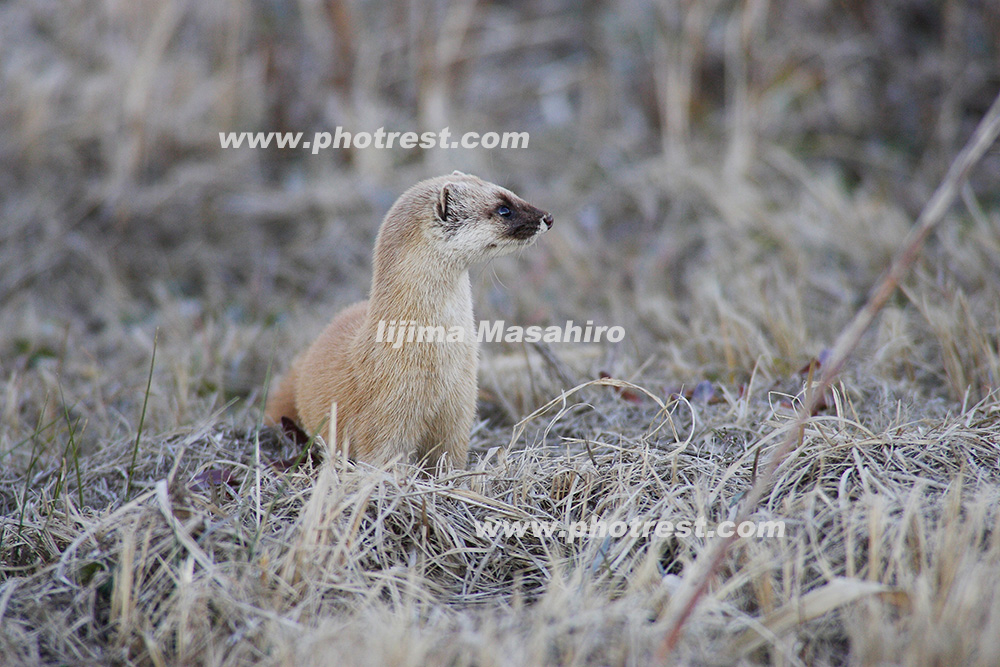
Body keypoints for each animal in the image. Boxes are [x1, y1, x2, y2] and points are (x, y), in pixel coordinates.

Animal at [264, 175, 556, 472]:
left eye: (510, 192)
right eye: (503, 208)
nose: (548, 216)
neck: (440, 363)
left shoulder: (460, 409)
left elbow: (450, 455)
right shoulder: (385, 416)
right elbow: (382, 457)